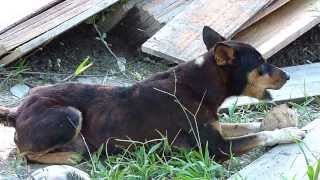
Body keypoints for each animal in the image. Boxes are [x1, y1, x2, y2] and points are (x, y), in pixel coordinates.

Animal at [0, 26, 304, 163]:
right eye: (261, 63)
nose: (289, 76)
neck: (200, 84)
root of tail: (17, 111)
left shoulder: (216, 128)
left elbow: (247, 125)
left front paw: (276, 122)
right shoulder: (213, 148)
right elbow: (259, 136)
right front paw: (288, 133)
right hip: (68, 115)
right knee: (27, 154)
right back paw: (77, 155)